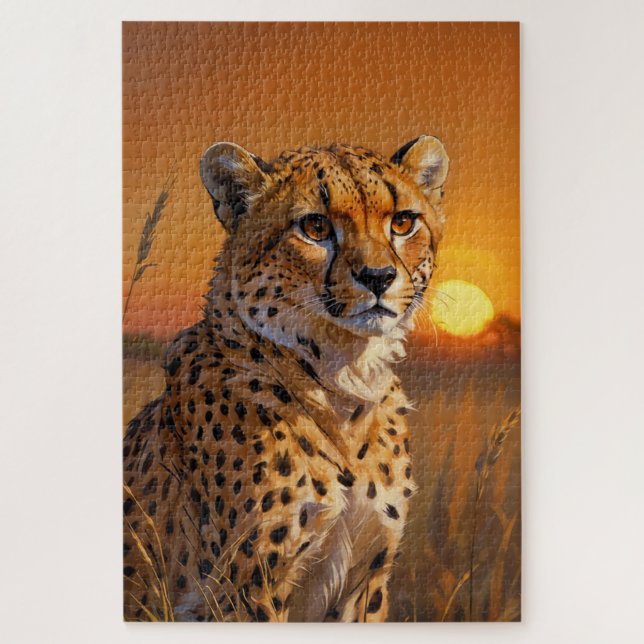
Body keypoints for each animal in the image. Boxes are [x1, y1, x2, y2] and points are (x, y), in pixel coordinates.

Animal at [123, 135, 449, 622]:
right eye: (314, 227)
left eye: (403, 223)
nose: (378, 277)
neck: (343, 379)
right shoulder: (244, 590)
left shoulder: (366, 582)